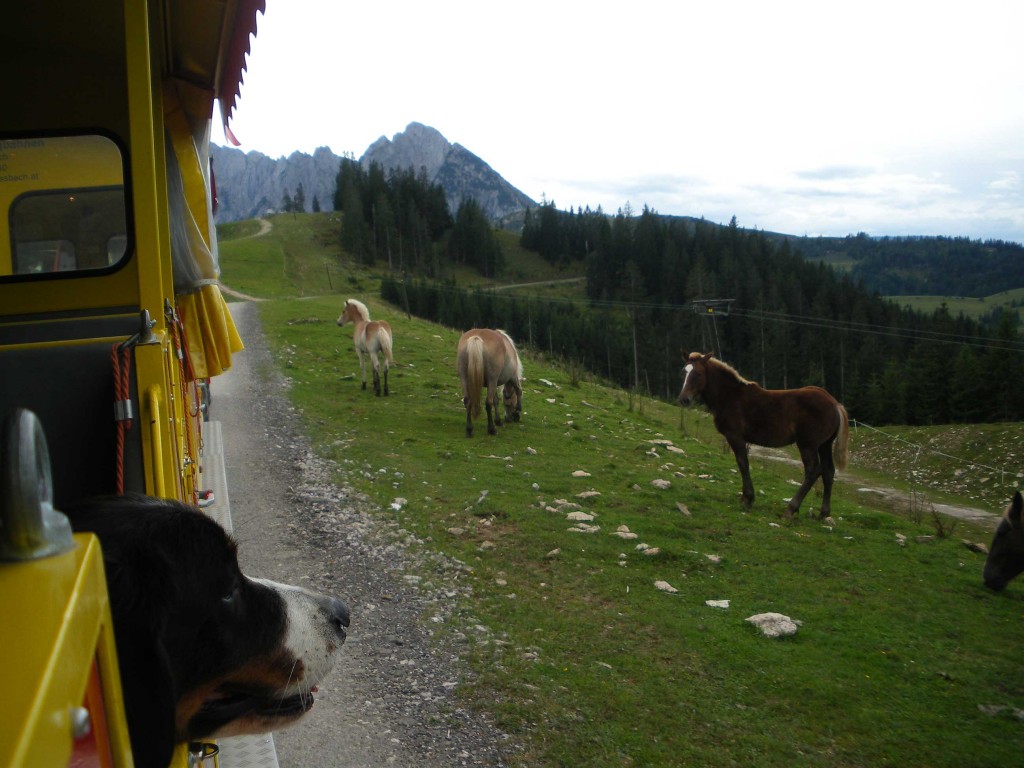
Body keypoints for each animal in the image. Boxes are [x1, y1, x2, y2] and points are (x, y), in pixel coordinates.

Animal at [675, 352, 851, 520]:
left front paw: (747, 500)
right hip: (824, 445)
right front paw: (745, 498)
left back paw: (790, 510)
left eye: (698, 374)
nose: (684, 399)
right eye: (683, 372)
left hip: (808, 445)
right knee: (828, 472)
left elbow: (743, 463)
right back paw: (823, 514)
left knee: (813, 471)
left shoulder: (735, 436)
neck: (731, 395)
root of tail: (835, 403)